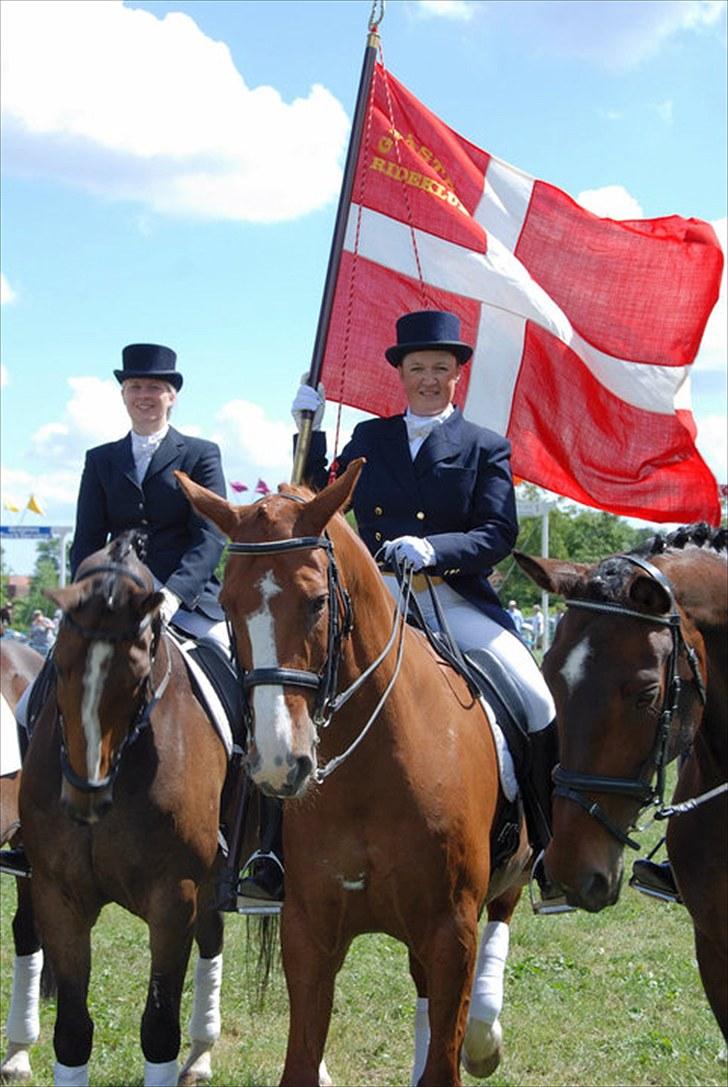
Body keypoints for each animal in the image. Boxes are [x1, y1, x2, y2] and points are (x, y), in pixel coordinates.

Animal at [18, 534, 229, 1087]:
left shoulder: (174, 898)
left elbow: (157, 1028)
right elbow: (72, 1032)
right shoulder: (58, 895)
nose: (84, 795)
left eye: (135, 675)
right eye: (59, 664)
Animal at [177, 463, 530, 1082]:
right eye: (226, 602)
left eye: (318, 602)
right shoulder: (310, 932)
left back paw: (485, 1038)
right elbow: (301, 1060)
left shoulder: (453, 931)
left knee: (501, 918)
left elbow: (445, 1060)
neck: (372, 771)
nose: (278, 762)